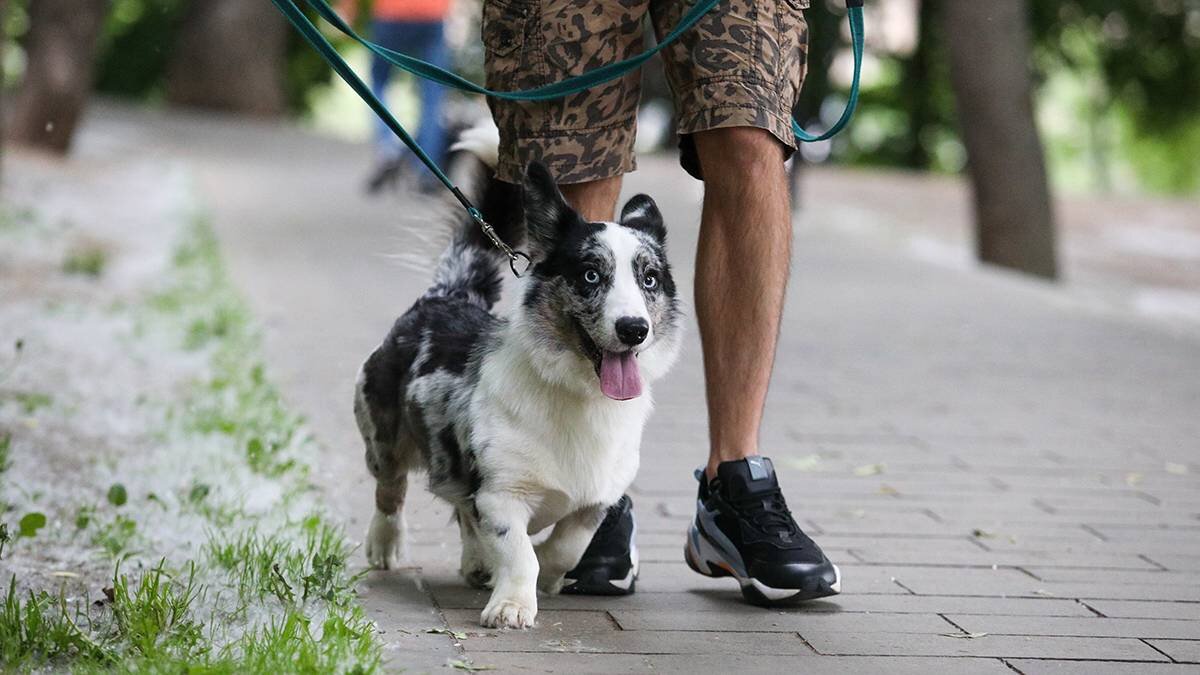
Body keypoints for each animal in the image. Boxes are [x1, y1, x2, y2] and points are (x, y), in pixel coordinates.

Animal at [350, 127, 681, 624]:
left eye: (650, 279)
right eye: (589, 275)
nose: (633, 329)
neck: (581, 394)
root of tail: (448, 294)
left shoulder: (595, 502)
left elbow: (565, 548)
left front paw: (542, 575)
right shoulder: (500, 494)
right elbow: (519, 551)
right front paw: (511, 608)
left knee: (461, 512)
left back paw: (476, 563)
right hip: (382, 434)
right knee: (390, 489)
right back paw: (386, 546)